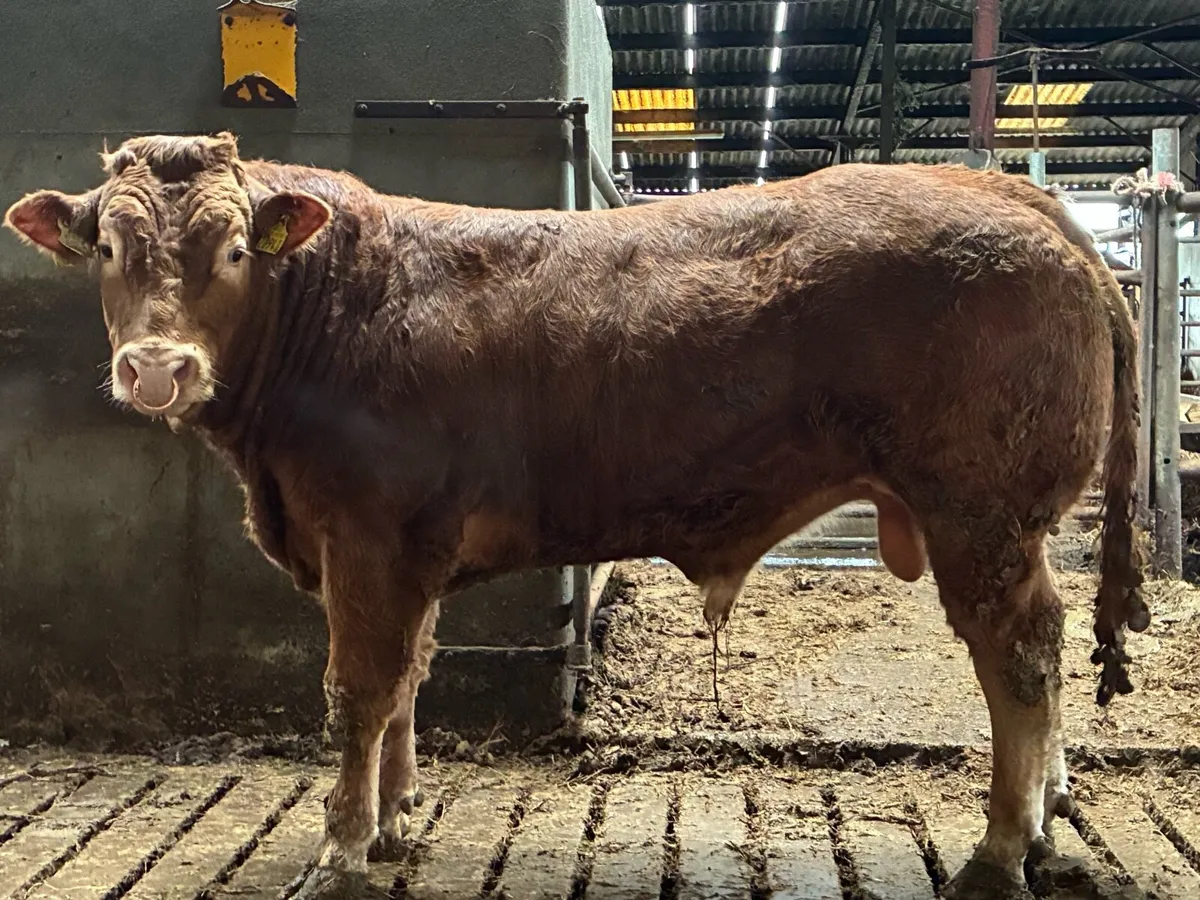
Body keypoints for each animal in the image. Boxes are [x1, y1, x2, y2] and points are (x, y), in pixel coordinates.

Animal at [4, 133, 1147, 900]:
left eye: (237, 248)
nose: (157, 367)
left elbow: (358, 690)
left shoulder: (366, 536)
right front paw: (395, 815)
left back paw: (999, 849)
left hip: (980, 513)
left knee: (1020, 657)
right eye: (107, 248)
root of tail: (999, 185)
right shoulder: (399, 551)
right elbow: (409, 676)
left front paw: (341, 845)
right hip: (1006, 525)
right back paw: (1044, 821)